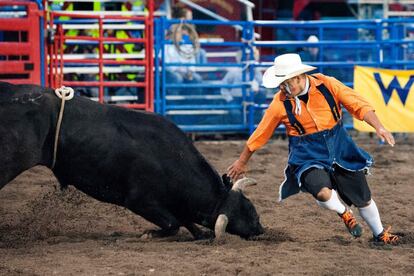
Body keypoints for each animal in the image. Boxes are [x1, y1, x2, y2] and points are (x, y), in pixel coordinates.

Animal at [0, 82, 264, 239]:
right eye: (248, 214)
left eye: (251, 208)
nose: (260, 230)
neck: (169, 160)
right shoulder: (140, 201)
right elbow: (173, 223)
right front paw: (150, 234)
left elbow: (185, 220)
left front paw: (199, 233)